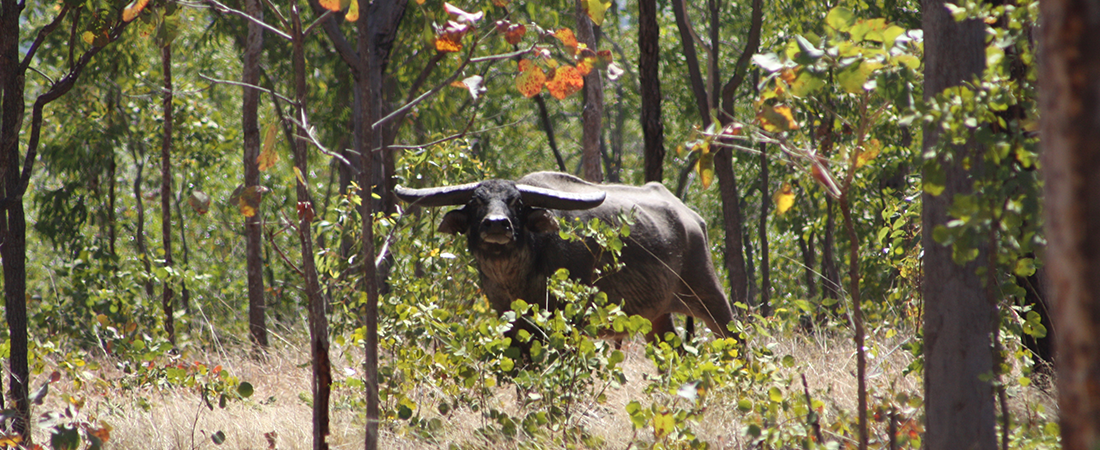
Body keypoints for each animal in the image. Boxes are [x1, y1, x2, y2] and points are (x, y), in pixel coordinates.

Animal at [391, 170, 734, 341]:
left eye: (517, 203)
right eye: (476, 202)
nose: (497, 225)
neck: (518, 277)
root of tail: (693, 220)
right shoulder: (512, 323)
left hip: (709, 295)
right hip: (657, 317)